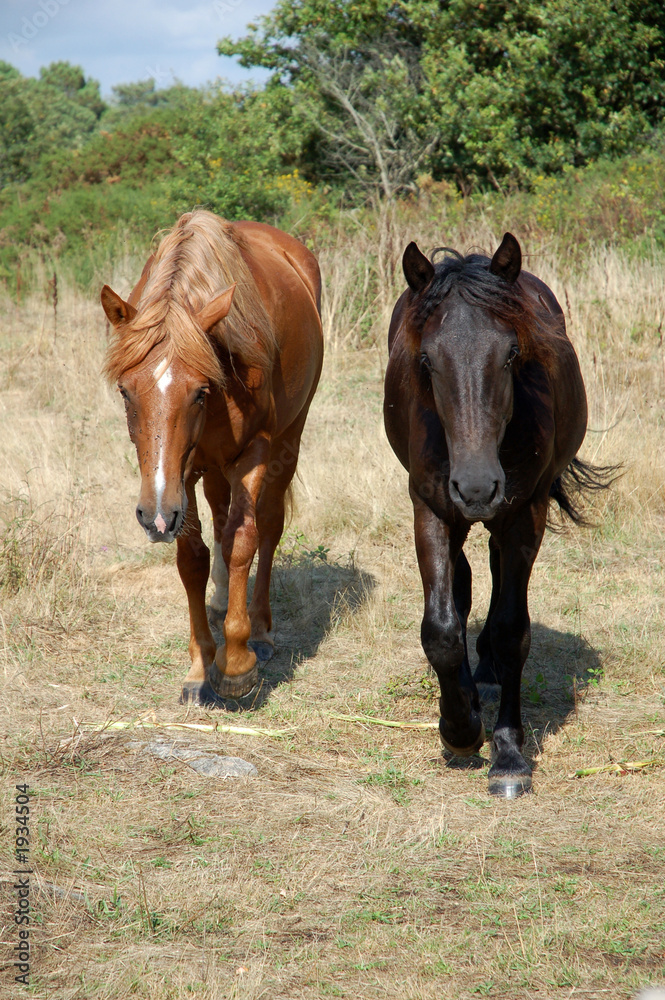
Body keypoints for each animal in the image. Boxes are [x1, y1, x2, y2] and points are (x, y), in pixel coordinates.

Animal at [101, 210, 323, 705]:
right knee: (221, 519)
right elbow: (193, 558)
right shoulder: (180, 475)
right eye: (125, 391)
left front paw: (237, 662)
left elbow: (244, 539)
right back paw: (222, 599)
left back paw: (260, 630)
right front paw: (200, 666)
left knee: (268, 526)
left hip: (288, 440)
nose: (153, 516)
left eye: (201, 391)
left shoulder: (254, 451)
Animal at [384, 233, 612, 797]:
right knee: (464, 581)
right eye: (426, 360)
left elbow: (513, 631)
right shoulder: (429, 509)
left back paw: (484, 670)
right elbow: (441, 629)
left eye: (511, 353)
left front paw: (508, 753)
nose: (476, 486)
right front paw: (460, 728)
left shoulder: (524, 514)